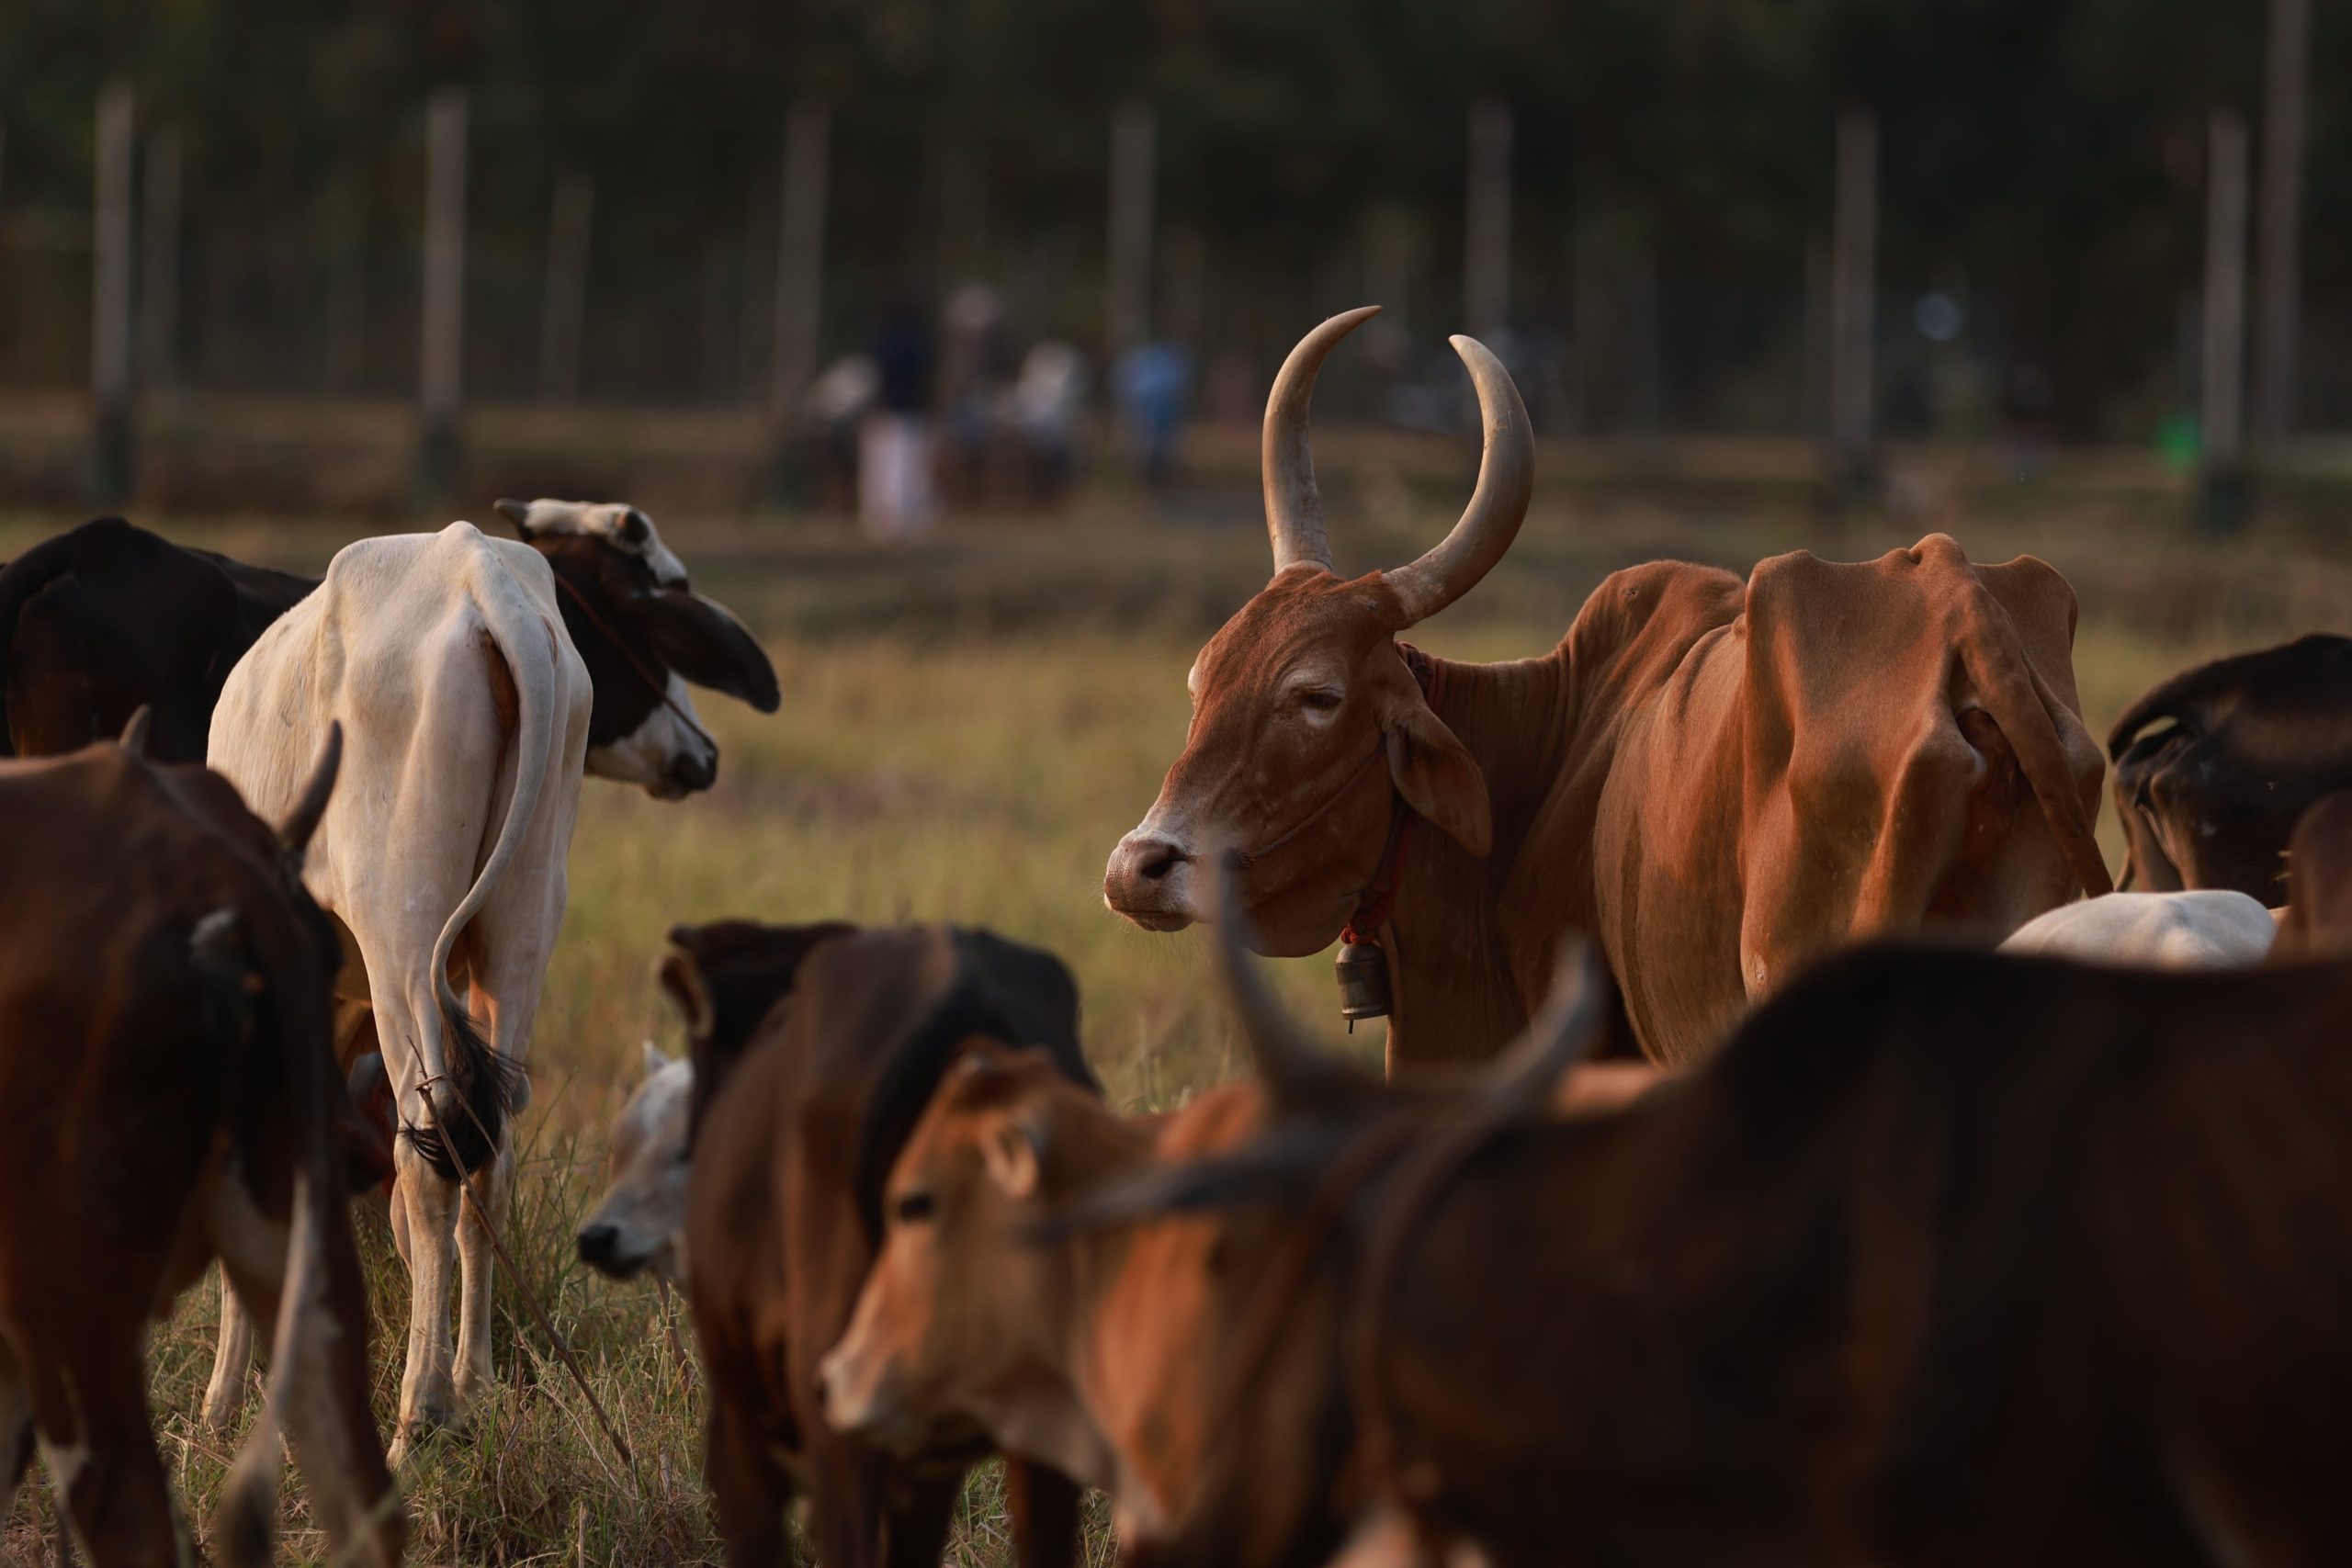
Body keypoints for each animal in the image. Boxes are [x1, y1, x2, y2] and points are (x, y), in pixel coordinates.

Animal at [206, 519, 593, 1458]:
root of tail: (478, 571)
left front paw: (223, 1406)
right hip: (523, 922)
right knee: (487, 1155)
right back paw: (473, 1381)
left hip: (403, 931)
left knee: (429, 1158)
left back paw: (419, 1415)